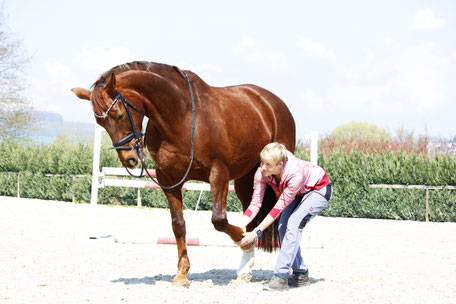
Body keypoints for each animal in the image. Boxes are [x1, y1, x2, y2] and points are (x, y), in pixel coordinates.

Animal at [72, 61, 296, 284]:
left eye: (118, 114)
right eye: (100, 123)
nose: (130, 159)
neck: (181, 115)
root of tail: (272, 102)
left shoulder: (219, 173)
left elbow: (219, 219)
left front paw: (243, 239)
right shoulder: (168, 179)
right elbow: (178, 224)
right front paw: (182, 273)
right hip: (245, 178)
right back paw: (245, 269)